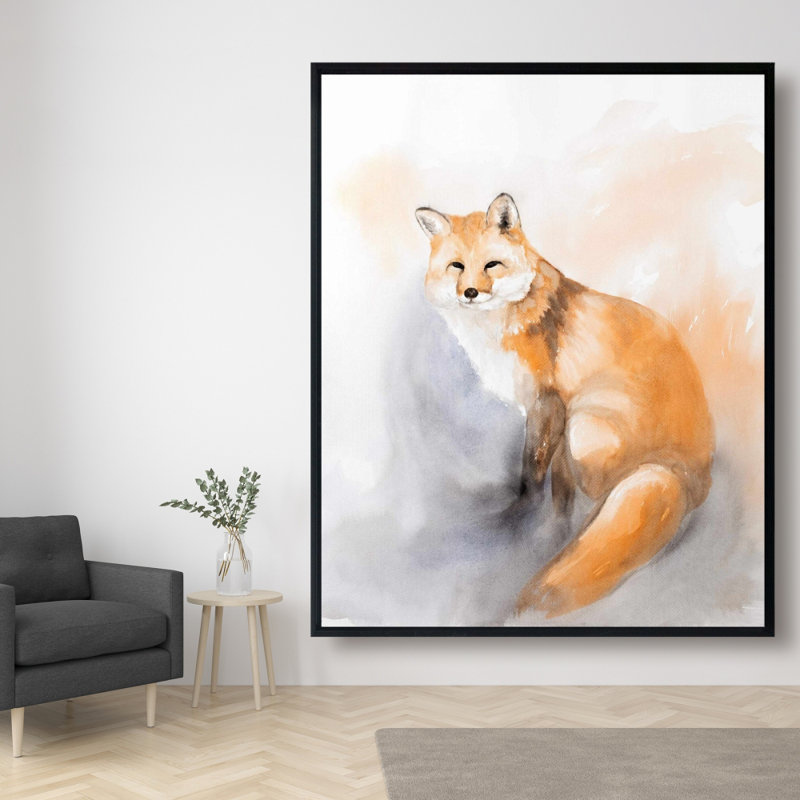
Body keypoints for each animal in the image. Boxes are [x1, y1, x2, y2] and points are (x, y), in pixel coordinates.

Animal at [415, 193, 714, 618]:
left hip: (585, 425)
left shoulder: (549, 404)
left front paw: (518, 518)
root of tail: (684, 474)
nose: (470, 292)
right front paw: (552, 522)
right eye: (456, 266)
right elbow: (556, 481)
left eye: (491, 265)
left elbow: (531, 473)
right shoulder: (550, 413)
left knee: (605, 496)